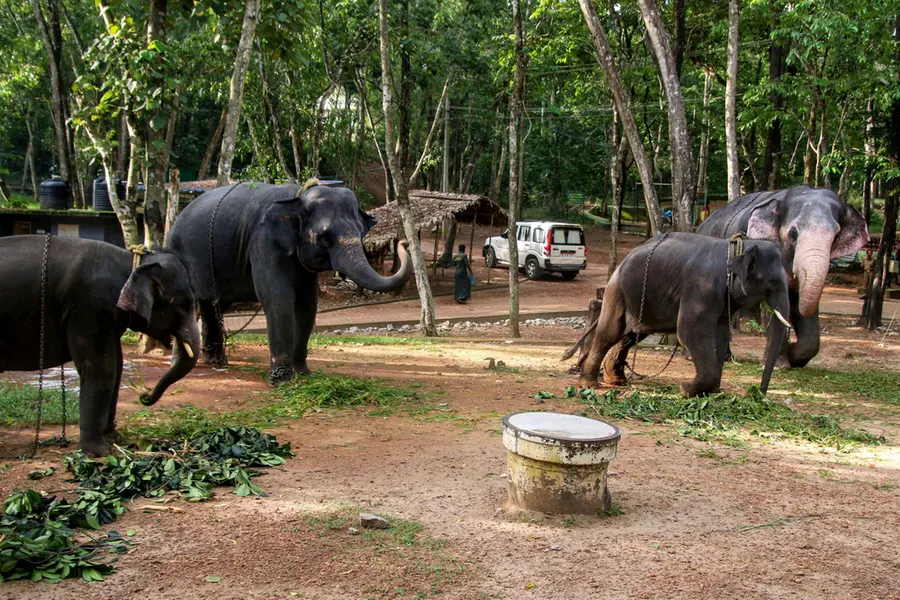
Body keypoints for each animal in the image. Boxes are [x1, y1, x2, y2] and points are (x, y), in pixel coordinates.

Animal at [0, 236, 200, 456]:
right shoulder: (90, 306)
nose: (144, 395)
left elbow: (117, 366)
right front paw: (100, 452)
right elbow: (101, 368)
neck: (131, 261)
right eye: (183, 305)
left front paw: (114, 439)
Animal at [166, 183, 412, 384]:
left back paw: (215, 361)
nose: (404, 242)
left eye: (362, 234)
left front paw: (304, 374)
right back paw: (182, 362)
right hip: (178, 254)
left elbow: (307, 304)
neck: (298, 197)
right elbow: (278, 298)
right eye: (325, 238)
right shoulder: (264, 241)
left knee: (214, 305)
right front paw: (282, 380)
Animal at [572, 233, 792, 398]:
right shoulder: (701, 288)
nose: (756, 393)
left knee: (631, 335)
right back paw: (588, 385)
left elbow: (720, 334)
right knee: (610, 332)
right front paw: (686, 390)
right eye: (772, 283)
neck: (739, 245)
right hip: (617, 291)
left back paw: (617, 381)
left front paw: (710, 392)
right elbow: (690, 331)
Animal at [696, 186, 868, 367]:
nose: (792, 344)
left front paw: (793, 356)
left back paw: (725, 356)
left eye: (836, 237)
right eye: (793, 234)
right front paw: (779, 365)